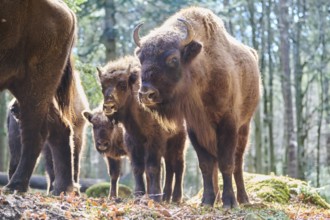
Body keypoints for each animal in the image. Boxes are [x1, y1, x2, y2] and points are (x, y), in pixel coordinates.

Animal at [0, 0, 77, 192]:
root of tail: (68, 11)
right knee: (60, 128)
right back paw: (62, 189)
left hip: (35, 85)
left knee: (35, 133)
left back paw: (15, 185)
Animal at [98, 55, 187, 203]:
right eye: (103, 86)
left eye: (122, 85)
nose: (108, 106)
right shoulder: (133, 142)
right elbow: (138, 168)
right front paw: (139, 194)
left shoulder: (155, 141)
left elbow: (152, 167)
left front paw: (155, 196)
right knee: (169, 167)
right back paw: (166, 196)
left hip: (178, 140)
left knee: (178, 166)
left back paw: (175, 197)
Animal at [134, 5, 260, 208]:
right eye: (141, 59)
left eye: (173, 58)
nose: (146, 93)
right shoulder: (195, 128)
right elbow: (206, 164)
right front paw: (207, 201)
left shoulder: (228, 124)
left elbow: (227, 162)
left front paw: (230, 202)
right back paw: (217, 198)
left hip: (244, 126)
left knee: (238, 162)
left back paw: (243, 199)